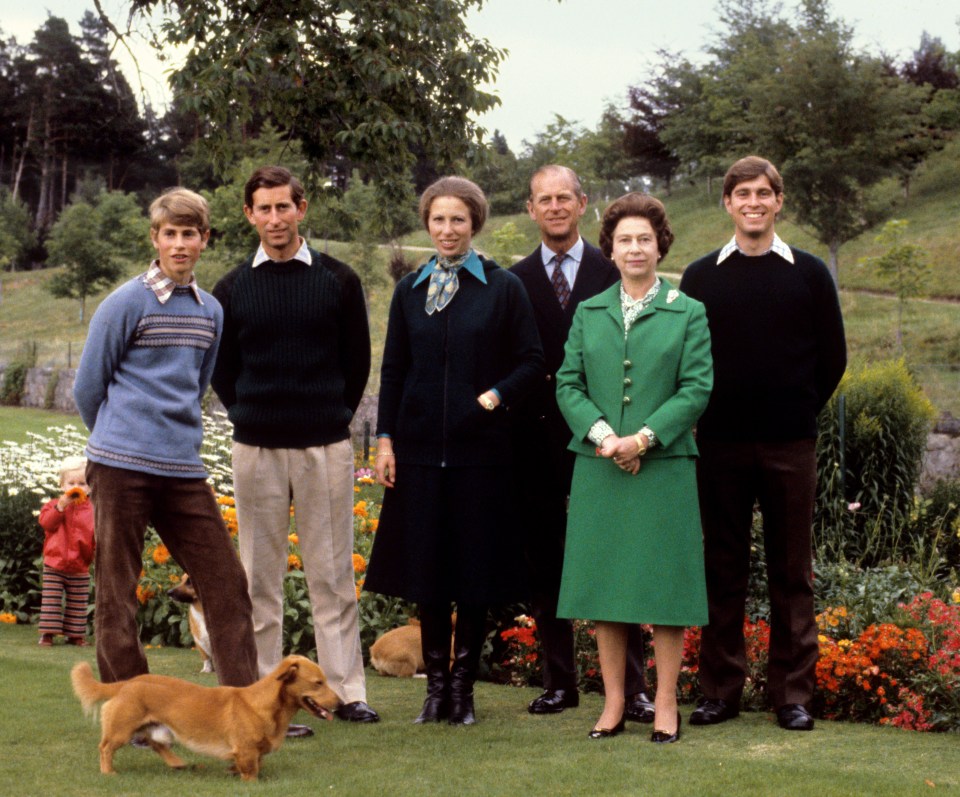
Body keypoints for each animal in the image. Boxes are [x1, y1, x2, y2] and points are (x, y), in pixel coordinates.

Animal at [71, 656, 342, 780]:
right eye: (318, 683)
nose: (340, 705)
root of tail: (126, 683)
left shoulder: (254, 752)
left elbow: (256, 762)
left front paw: (232, 770)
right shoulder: (246, 750)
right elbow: (251, 770)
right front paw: (249, 781)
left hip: (158, 728)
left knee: (156, 744)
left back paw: (177, 763)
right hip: (122, 729)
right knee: (105, 747)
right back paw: (108, 772)